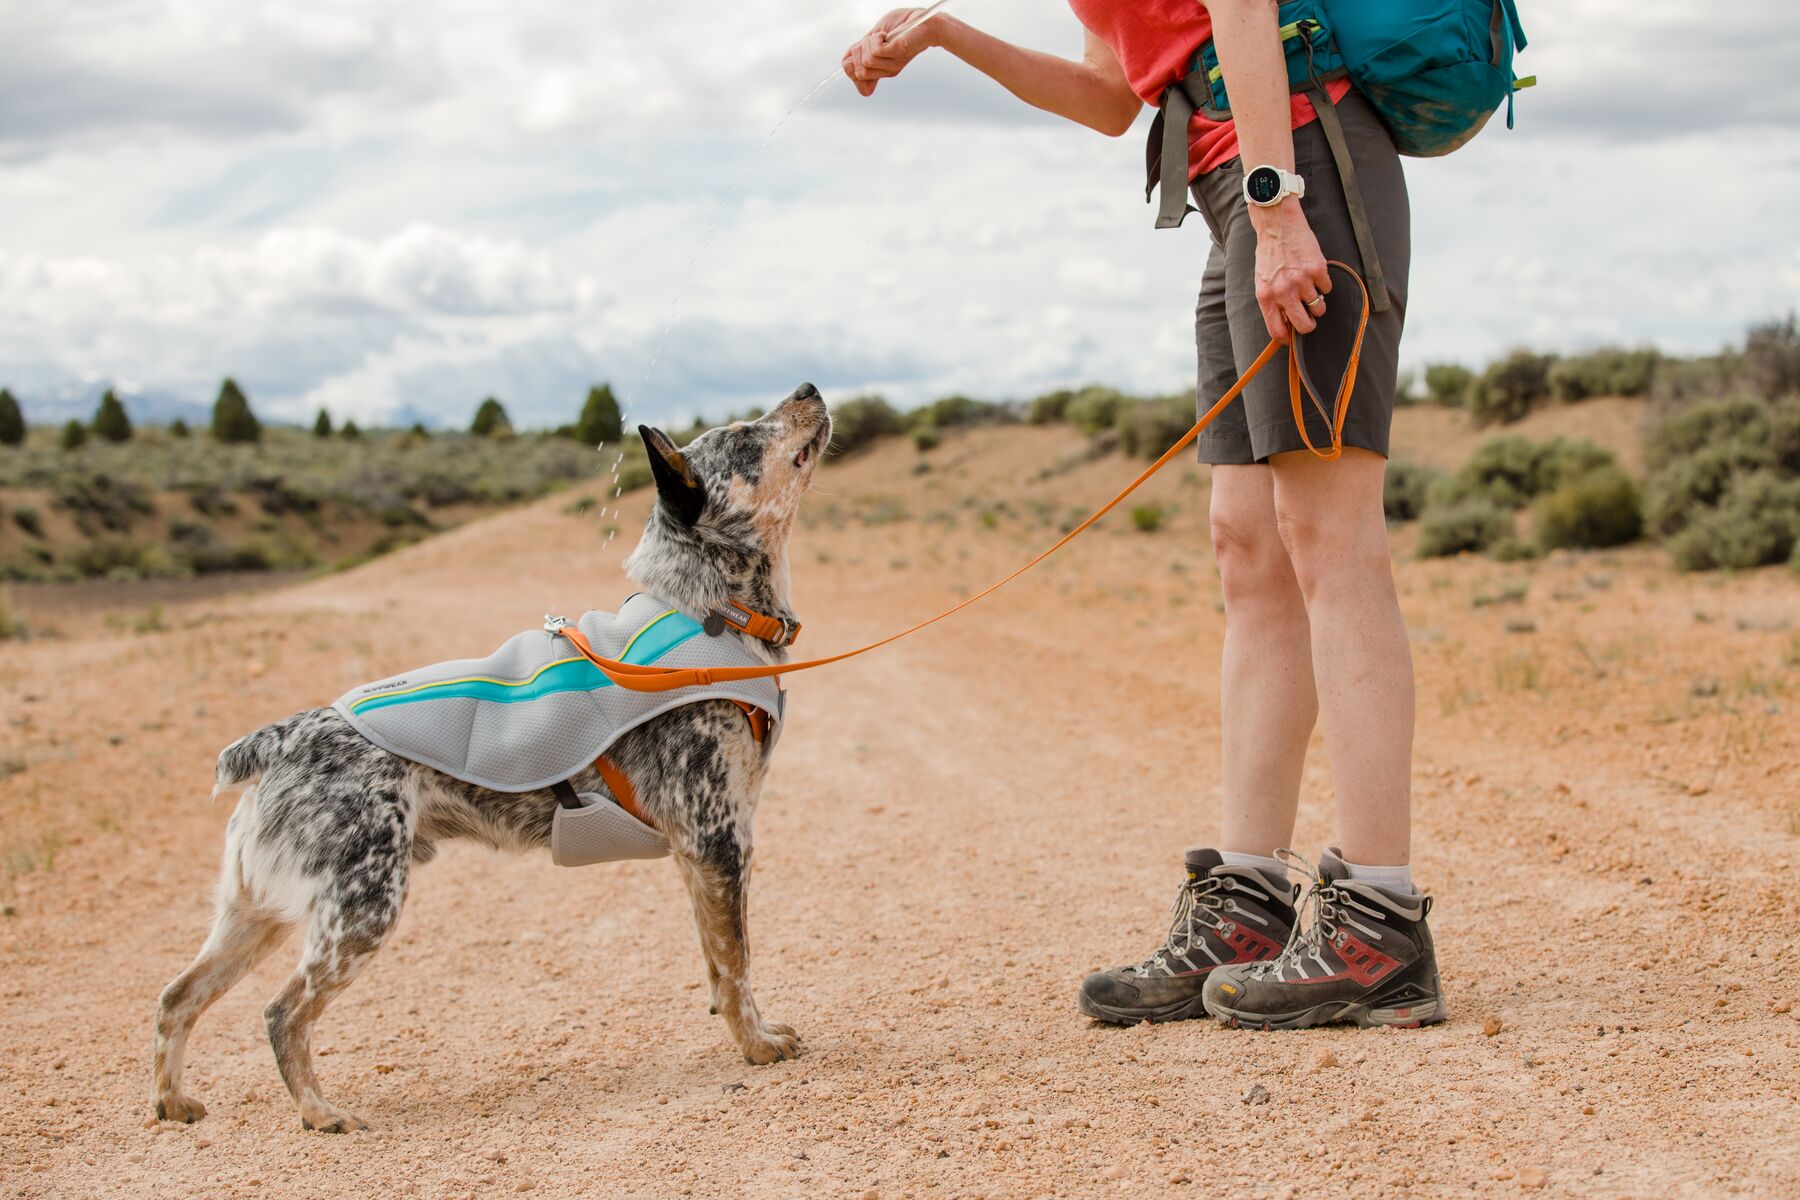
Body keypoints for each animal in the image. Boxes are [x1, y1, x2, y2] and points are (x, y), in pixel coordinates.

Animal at [154, 386, 828, 1137]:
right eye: (743, 438)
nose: (807, 389)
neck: (713, 612)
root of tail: (284, 737)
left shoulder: (701, 855)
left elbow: (717, 961)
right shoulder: (718, 839)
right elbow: (738, 964)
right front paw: (756, 1044)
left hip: (254, 913)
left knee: (177, 997)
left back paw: (173, 1101)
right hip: (360, 910)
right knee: (282, 1012)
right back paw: (319, 1111)